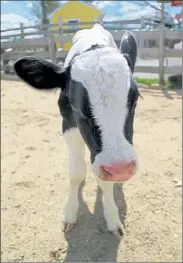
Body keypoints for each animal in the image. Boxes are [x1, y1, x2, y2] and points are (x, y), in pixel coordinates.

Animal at [14, 23, 139, 240]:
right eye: (76, 105)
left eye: (135, 99)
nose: (120, 169)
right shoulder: (68, 125)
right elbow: (76, 173)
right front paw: (70, 214)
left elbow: (102, 180)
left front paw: (112, 218)